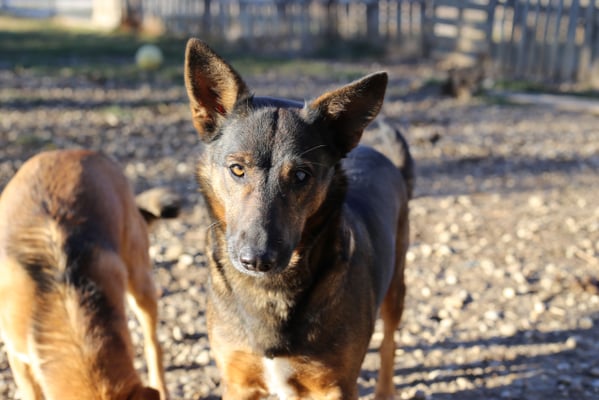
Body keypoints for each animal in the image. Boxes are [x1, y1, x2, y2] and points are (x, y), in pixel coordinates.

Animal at [184, 39, 414, 399]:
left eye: (301, 176)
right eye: (237, 169)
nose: (257, 260)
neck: (270, 292)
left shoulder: (336, 386)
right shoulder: (238, 383)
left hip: (396, 287)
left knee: (389, 343)